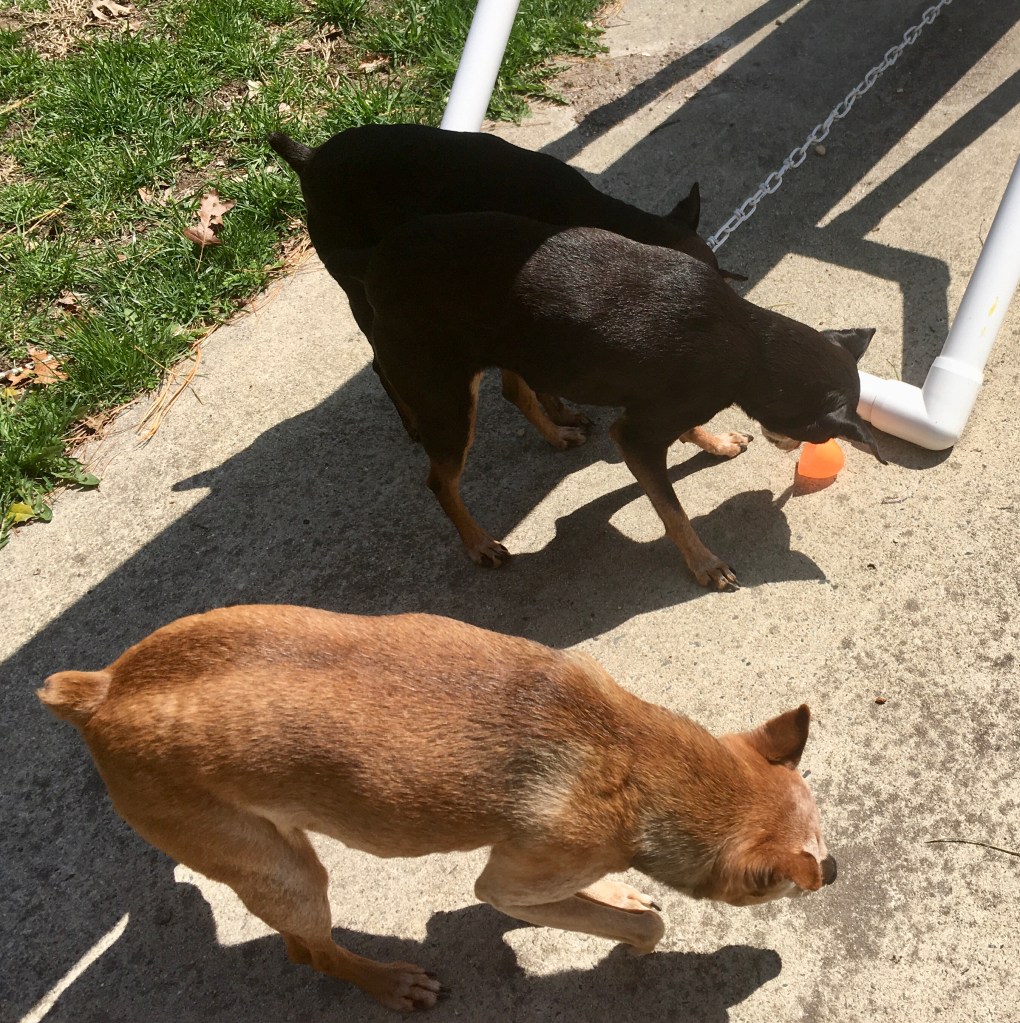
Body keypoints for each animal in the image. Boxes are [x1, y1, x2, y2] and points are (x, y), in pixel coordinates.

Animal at [40, 605, 835, 1011]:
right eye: (780, 885)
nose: (835, 870)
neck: (630, 753)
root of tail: (103, 693)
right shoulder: (505, 885)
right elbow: (641, 926)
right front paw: (628, 937)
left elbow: (595, 896)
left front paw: (612, 893)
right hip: (287, 875)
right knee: (313, 950)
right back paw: (388, 983)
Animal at [268, 124, 745, 453]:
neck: (600, 214)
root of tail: (309, 159)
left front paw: (559, 410)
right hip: (366, 298)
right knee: (381, 368)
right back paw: (414, 423)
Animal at [327, 212, 885, 587]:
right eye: (820, 431)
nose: (797, 449)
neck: (749, 341)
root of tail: (376, 255)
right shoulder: (637, 433)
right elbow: (673, 512)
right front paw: (704, 563)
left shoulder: (655, 412)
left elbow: (686, 436)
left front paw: (716, 443)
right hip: (445, 398)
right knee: (440, 480)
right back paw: (479, 543)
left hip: (514, 347)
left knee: (514, 389)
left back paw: (558, 433)